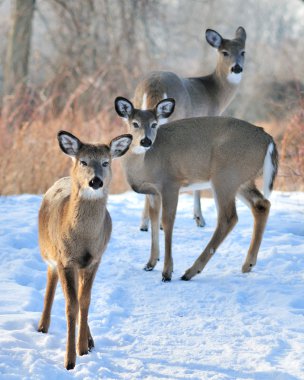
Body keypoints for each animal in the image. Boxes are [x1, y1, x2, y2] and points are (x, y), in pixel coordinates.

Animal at [36, 130, 132, 368]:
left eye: (106, 162)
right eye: (83, 161)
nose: (95, 181)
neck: (83, 240)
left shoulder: (94, 260)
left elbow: (85, 301)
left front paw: (83, 349)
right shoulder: (65, 260)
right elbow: (71, 305)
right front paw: (69, 360)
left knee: (79, 296)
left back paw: (89, 340)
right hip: (48, 252)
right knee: (51, 281)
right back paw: (42, 326)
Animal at [114, 95, 278, 282]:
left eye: (154, 124)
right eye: (135, 123)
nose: (146, 141)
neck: (143, 164)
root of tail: (267, 138)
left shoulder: (170, 184)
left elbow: (167, 222)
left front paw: (167, 272)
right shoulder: (153, 192)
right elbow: (154, 221)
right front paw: (150, 263)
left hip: (225, 176)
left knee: (228, 218)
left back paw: (190, 271)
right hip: (241, 180)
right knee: (261, 205)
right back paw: (247, 265)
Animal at [132, 26, 246, 232]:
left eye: (243, 52)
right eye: (224, 52)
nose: (237, 68)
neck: (214, 92)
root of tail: (154, 86)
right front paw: (199, 218)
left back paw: (144, 223)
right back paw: (156, 223)